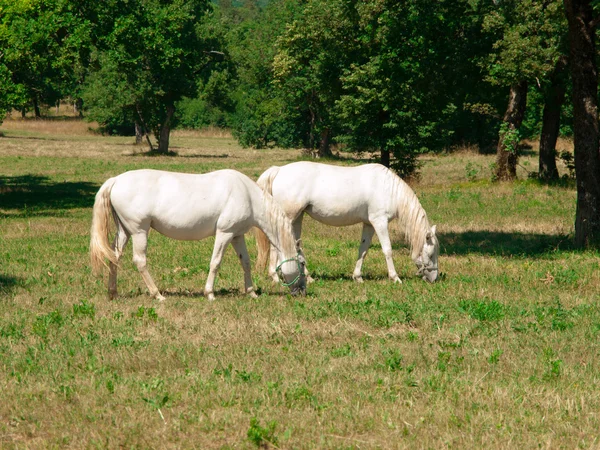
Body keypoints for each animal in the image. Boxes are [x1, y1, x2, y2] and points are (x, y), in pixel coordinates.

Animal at [89, 169, 304, 302]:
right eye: (302, 264)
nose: (302, 291)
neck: (247, 195)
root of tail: (115, 181)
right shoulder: (224, 233)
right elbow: (215, 262)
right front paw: (209, 294)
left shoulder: (237, 236)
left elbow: (246, 263)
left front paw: (251, 292)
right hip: (139, 231)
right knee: (140, 260)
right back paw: (157, 295)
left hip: (124, 231)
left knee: (114, 257)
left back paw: (113, 293)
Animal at [255, 160, 438, 284]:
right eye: (431, 253)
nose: (434, 278)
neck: (388, 189)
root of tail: (278, 170)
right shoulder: (379, 221)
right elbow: (387, 250)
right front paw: (395, 277)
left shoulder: (369, 224)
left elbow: (363, 249)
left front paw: (358, 277)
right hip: (289, 216)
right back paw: (275, 277)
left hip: (297, 218)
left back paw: (306, 277)